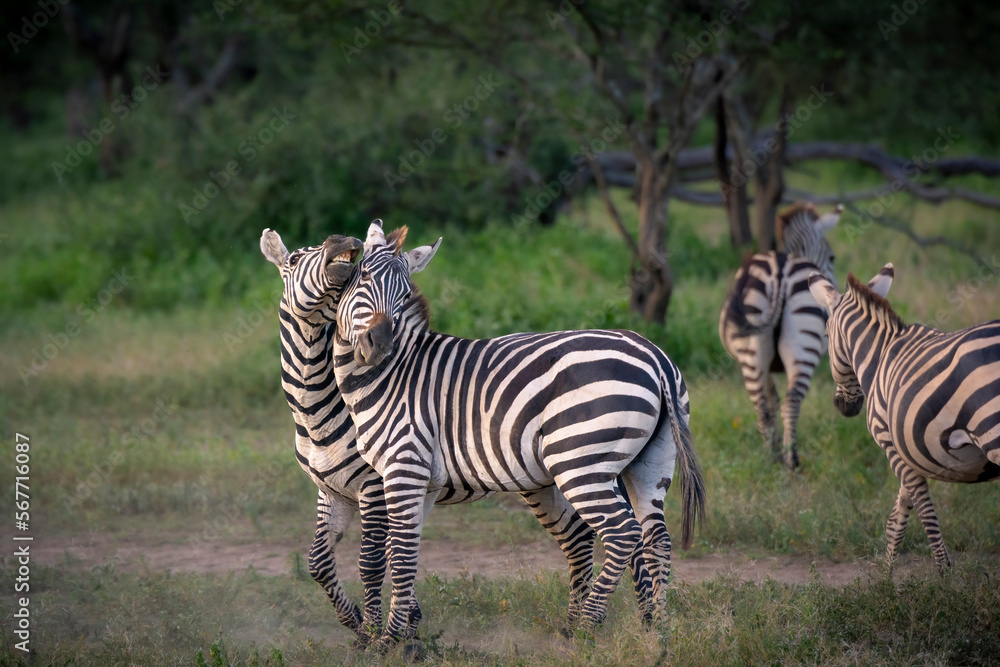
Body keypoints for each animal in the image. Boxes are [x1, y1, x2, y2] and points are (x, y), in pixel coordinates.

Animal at [259, 228, 651, 643]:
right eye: (295, 259)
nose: (342, 243)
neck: (317, 408)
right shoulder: (333, 490)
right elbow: (320, 561)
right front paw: (370, 623)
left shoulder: (377, 486)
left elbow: (376, 559)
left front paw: (384, 630)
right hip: (550, 478)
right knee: (580, 537)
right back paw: (596, 622)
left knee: (623, 537)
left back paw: (640, 624)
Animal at [718, 202, 843, 468]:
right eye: (832, 257)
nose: (835, 293)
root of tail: (780, 271)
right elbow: (776, 399)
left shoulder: (766, 365)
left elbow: (772, 400)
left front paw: (774, 444)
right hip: (800, 348)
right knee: (790, 403)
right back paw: (789, 459)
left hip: (752, 353)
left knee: (765, 406)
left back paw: (773, 458)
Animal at [809, 264, 1000, 570]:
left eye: (826, 337)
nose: (842, 407)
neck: (879, 355)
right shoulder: (909, 450)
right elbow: (898, 515)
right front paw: (886, 573)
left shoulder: (891, 444)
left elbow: (923, 511)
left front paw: (943, 573)